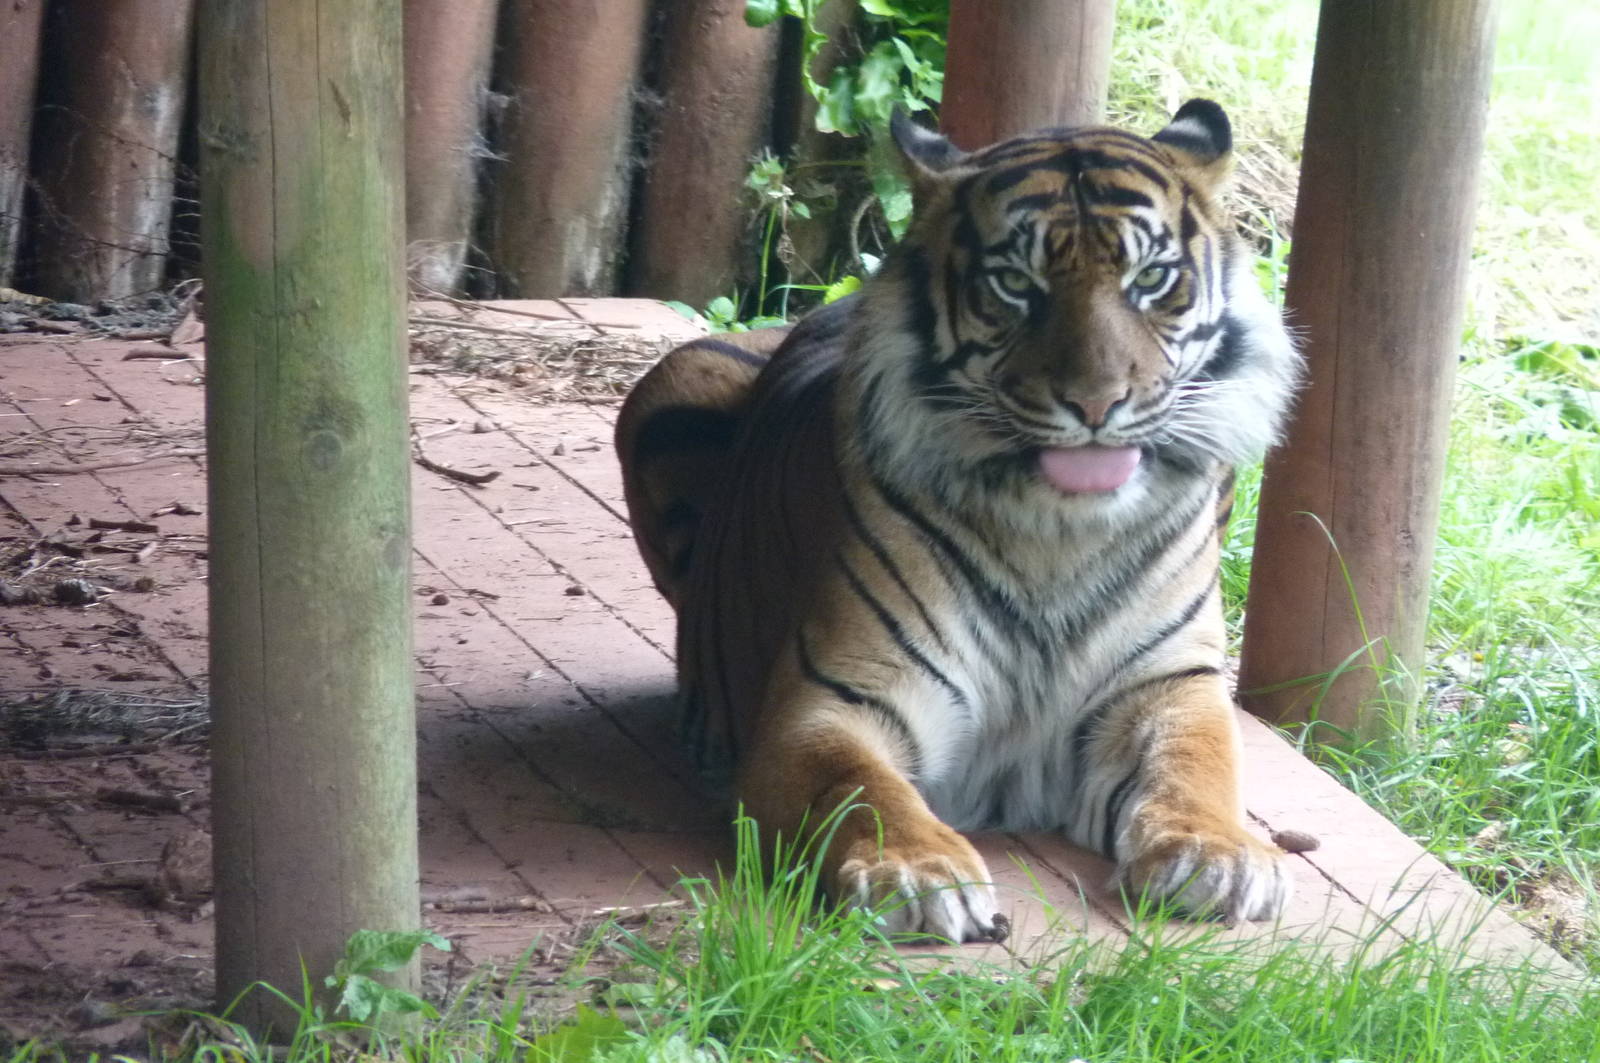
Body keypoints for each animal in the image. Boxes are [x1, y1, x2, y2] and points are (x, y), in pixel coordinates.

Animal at [615, 100, 1302, 941]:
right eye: (1015, 284)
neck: (1058, 537)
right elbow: (858, 787)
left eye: (1151, 280)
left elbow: (1198, 763)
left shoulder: (1169, 683)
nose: (1097, 403)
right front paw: (918, 870)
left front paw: (1219, 854)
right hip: (672, 379)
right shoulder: (834, 701)